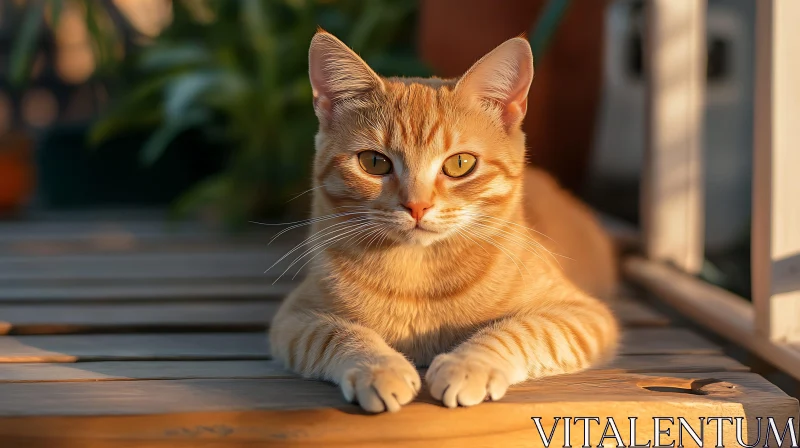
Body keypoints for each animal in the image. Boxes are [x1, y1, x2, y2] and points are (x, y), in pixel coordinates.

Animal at [268, 30, 620, 412]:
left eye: (460, 164)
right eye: (374, 162)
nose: (417, 206)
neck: (418, 276)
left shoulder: (581, 315)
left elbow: (520, 330)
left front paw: (468, 365)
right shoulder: (296, 318)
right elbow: (339, 333)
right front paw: (379, 368)